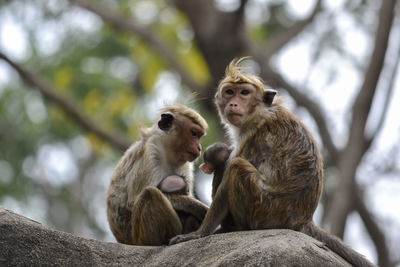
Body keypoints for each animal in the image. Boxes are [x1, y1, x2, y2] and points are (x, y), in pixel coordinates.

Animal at [108, 104, 211, 247]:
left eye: (199, 136)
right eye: (194, 133)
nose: (199, 147)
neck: (168, 152)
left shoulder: (186, 164)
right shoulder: (152, 151)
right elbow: (132, 203)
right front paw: (197, 206)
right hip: (139, 238)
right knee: (149, 193)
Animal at [170, 58, 376, 267]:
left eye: (244, 93)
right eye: (229, 92)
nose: (233, 103)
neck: (260, 113)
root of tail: (302, 220)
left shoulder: (252, 136)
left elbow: (226, 180)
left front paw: (198, 234)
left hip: (266, 208)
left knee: (237, 167)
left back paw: (236, 227)